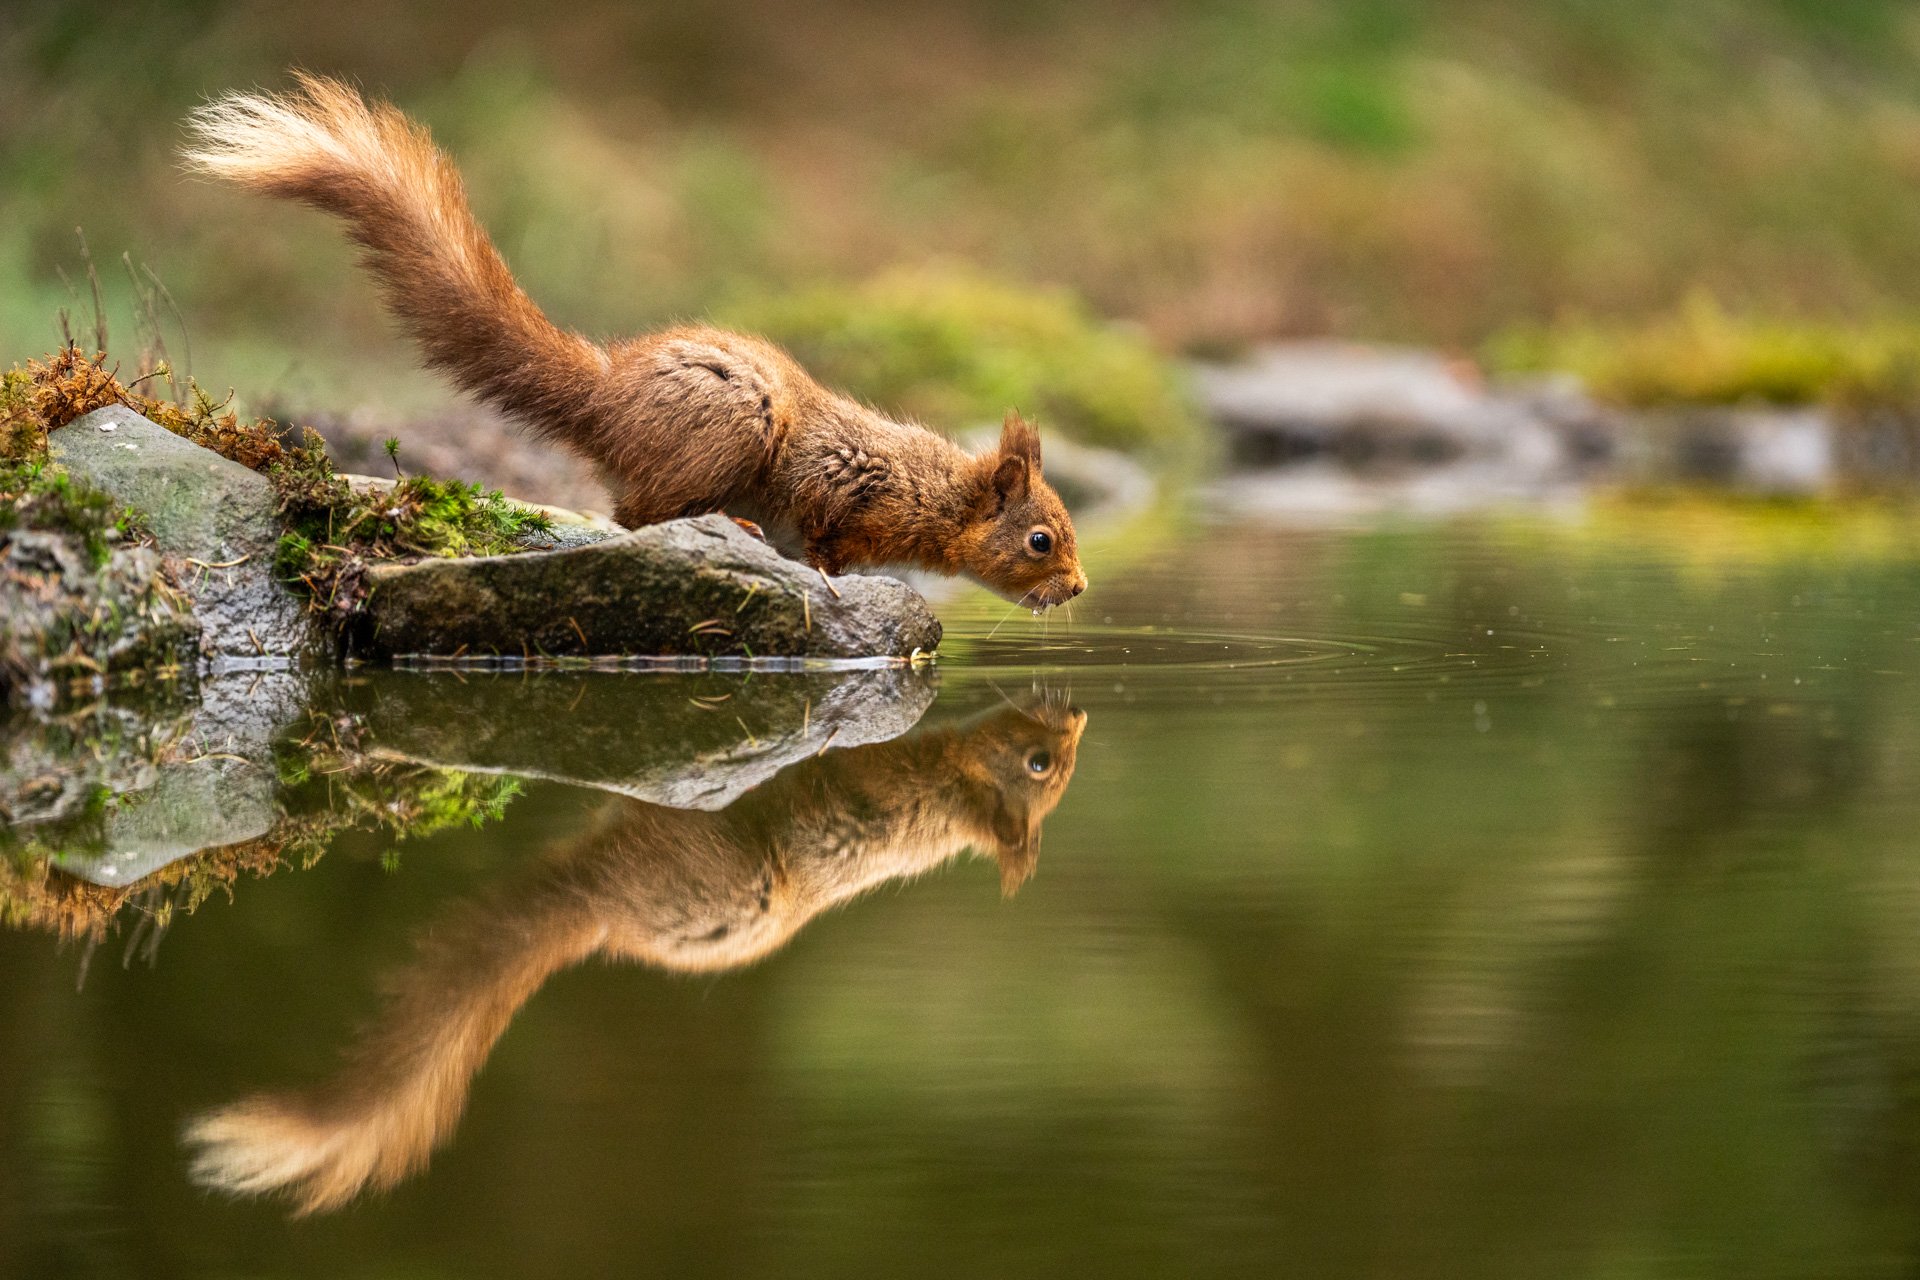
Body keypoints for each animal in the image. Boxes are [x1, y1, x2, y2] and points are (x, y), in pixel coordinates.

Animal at [181, 74, 1087, 607]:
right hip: (729, 428)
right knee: (637, 514)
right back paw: (736, 530)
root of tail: (607, 397)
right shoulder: (837, 491)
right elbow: (824, 542)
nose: (1078, 589)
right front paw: (835, 581)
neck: (933, 491)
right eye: (1040, 539)